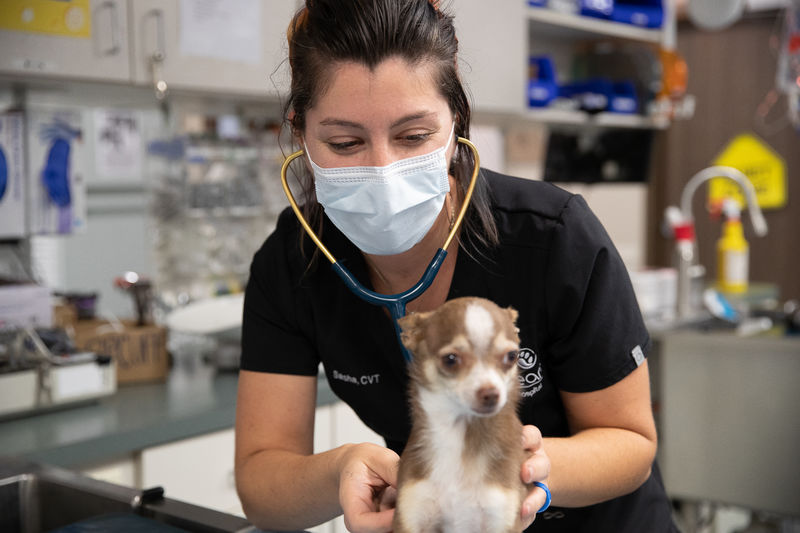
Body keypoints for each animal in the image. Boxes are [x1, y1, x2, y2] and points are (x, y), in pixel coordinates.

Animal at [396, 296, 532, 532]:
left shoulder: (501, 517)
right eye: (450, 359)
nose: (491, 393)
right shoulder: (411, 516)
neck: (460, 434)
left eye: (512, 356)